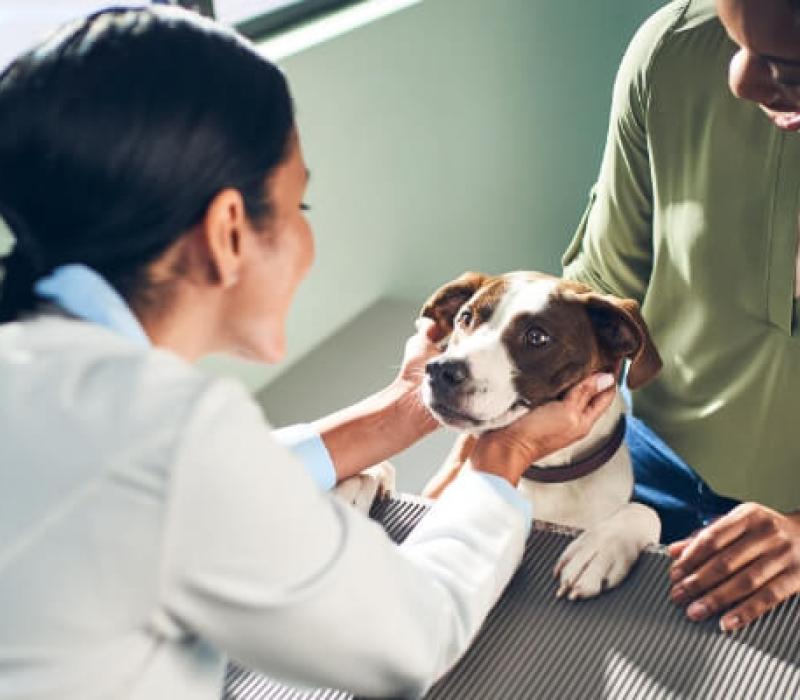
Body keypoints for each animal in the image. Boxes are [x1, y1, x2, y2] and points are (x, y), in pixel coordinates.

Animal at [418, 270, 664, 600]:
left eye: (537, 337)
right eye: (465, 317)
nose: (440, 370)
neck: (549, 475)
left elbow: (646, 510)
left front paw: (601, 549)